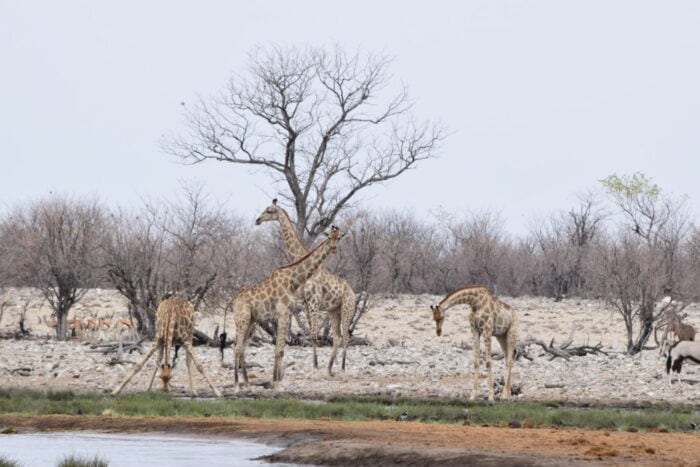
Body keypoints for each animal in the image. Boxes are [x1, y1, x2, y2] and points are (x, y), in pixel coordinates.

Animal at [228, 225, 344, 389]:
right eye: (329, 238)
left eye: (339, 237)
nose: (333, 248)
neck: (292, 280)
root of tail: (233, 300)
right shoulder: (282, 313)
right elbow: (280, 349)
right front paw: (276, 383)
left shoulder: (287, 314)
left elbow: (280, 348)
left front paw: (276, 380)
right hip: (242, 319)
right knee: (236, 347)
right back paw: (238, 384)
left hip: (251, 320)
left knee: (241, 347)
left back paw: (247, 383)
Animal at [255, 199, 355, 376]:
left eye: (269, 211)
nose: (258, 220)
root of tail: (353, 292)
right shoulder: (306, 302)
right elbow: (310, 333)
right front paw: (315, 365)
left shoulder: (314, 301)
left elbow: (314, 335)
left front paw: (315, 366)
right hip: (333, 310)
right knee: (337, 336)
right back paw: (330, 367)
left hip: (347, 309)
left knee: (346, 336)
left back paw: (342, 368)